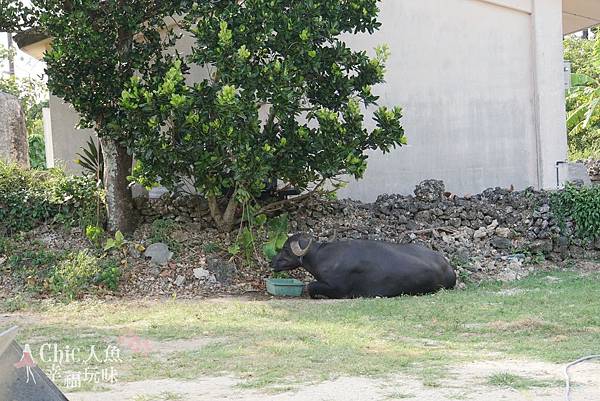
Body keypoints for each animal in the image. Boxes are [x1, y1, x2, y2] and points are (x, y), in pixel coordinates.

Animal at [270, 234, 454, 296]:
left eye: (285, 249)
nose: (272, 261)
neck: (321, 257)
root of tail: (449, 268)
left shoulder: (338, 288)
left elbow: (310, 286)